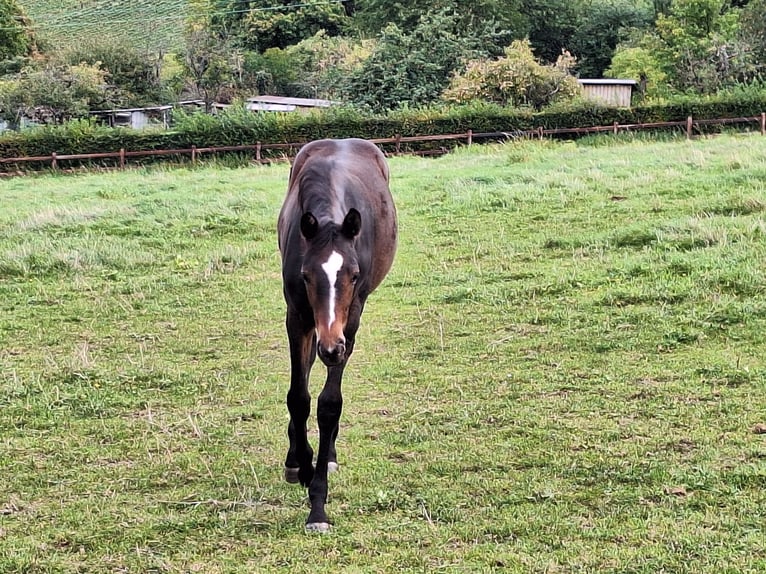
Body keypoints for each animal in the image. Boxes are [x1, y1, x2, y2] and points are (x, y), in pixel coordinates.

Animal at [278, 137, 400, 532]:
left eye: (354, 274)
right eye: (306, 275)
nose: (331, 348)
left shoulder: (349, 323)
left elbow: (329, 404)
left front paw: (318, 504)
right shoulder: (298, 317)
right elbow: (299, 396)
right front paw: (300, 464)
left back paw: (327, 455)